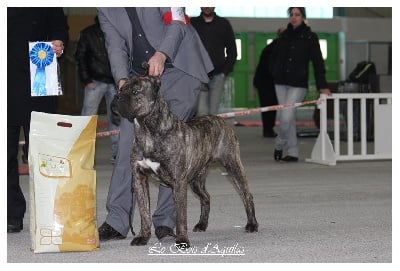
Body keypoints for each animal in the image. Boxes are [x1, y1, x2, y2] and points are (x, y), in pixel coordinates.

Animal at [112, 76, 258, 249]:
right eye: (121, 89)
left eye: (135, 91)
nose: (116, 97)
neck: (147, 131)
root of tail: (220, 119)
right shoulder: (139, 179)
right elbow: (144, 212)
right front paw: (143, 237)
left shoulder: (178, 183)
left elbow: (181, 215)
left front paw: (182, 240)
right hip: (196, 180)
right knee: (206, 197)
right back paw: (202, 224)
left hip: (233, 166)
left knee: (247, 195)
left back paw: (252, 224)